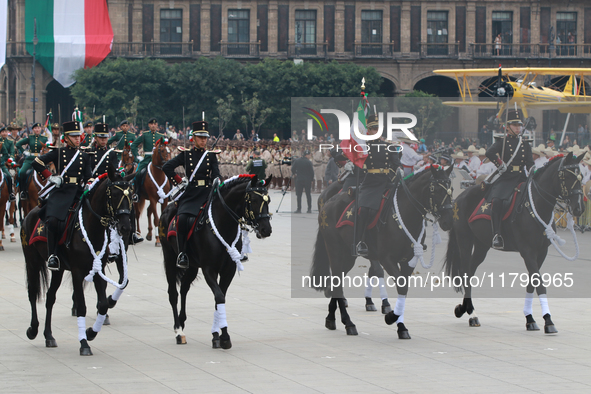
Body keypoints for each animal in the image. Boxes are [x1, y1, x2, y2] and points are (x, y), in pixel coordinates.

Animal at [22, 165, 134, 356]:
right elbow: (81, 306)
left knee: (50, 297)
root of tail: (32, 212)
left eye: (131, 195)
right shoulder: (77, 271)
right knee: (32, 292)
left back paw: (49, 336)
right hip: (32, 261)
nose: (125, 227)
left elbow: (103, 305)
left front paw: (90, 333)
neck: (92, 227)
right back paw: (33, 329)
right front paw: (84, 344)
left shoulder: (97, 269)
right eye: (114, 194)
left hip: (58, 270)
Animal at [160, 175, 276, 348]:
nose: (266, 230)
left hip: (192, 265)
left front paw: (217, 335)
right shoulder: (209, 269)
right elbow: (219, 297)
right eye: (254, 200)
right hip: (169, 257)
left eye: (268, 200)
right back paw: (178, 331)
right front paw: (224, 336)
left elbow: (219, 298)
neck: (223, 225)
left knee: (184, 288)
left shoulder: (228, 270)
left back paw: (182, 320)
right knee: (173, 293)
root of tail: (169, 208)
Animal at [312, 166, 456, 338]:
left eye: (451, 189)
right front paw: (392, 317)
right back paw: (349, 323)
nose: (448, 220)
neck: (405, 214)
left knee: (336, 282)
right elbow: (398, 284)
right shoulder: (387, 259)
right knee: (338, 284)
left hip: (348, 256)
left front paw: (401, 326)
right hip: (335, 251)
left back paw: (331, 319)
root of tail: (328, 202)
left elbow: (403, 289)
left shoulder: (408, 261)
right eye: (435, 190)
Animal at [446, 152, 584, 334]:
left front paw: (530, 318)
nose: (579, 208)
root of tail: (459, 197)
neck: (536, 206)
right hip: (465, 240)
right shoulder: (527, 251)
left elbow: (532, 283)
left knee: (470, 271)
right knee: (465, 272)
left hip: (482, 245)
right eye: (567, 176)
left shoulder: (541, 252)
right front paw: (548, 321)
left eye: (581, 177)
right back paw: (471, 314)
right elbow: (539, 284)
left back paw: (465, 308)